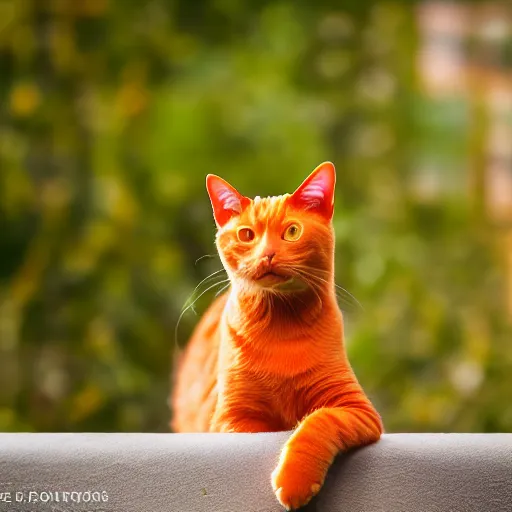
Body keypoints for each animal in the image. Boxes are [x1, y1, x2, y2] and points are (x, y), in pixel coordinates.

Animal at [173, 162, 384, 510]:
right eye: (246, 235)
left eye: (292, 232)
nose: (268, 254)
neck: (280, 327)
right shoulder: (232, 419)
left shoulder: (356, 408)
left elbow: (319, 422)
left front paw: (295, 479)